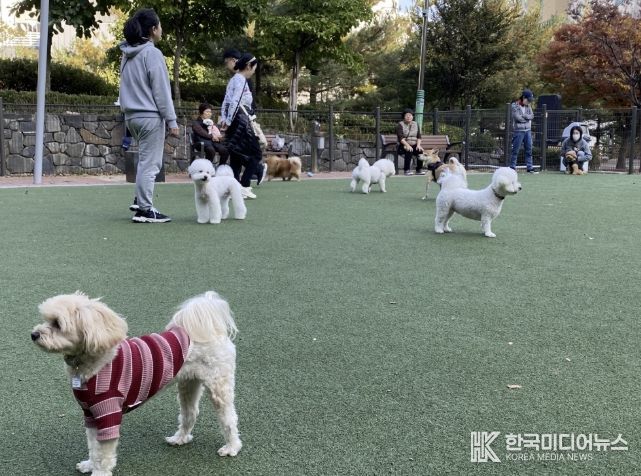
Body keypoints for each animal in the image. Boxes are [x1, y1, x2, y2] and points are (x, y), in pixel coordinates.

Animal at [31, 291, 242, 476]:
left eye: (57, 324)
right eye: (45, 319)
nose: (34, 334)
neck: (94, 362)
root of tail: (211, 330)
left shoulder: (108, 414)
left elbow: (104, 454)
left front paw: (99, 472)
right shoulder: (90, 414)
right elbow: (93, 446)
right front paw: (89, 464)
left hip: (219, 385)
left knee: (229, 419)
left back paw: (231, 447)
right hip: (188, 383)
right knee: (190, 413)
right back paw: (179, 438)